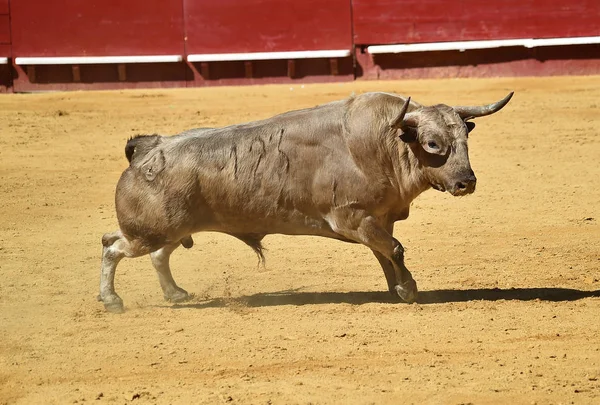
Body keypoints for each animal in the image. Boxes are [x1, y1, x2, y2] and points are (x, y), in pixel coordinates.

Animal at [97, 91, 510, 312]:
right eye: (433, 144)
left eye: (465, 140)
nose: (466, 182)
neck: (385, 144)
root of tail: (147, 149)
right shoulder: (353, 218)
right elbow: (394, 248)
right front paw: (408, 290)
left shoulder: (377, 219)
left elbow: (386, 253)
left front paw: (396, 288)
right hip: (148, 230)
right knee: (113, 246)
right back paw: (112, 299)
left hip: (169, 229)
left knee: (155, 254)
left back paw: (174, 293)